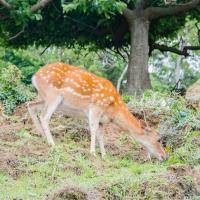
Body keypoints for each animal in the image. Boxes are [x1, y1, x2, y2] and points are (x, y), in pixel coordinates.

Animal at [27, 63, 166, 160]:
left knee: (30, 105)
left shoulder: (102, 120)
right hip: (53, 96)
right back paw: (52, 143)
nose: (165, 156)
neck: (113, 109)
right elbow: (93, 129)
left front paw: (104, 155)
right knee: (44, 116)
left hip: (43, 97)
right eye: (159, 139)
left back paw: (42, 136)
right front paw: (93, 153)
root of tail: (34, 76)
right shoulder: (96, 107)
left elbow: (101, 135)